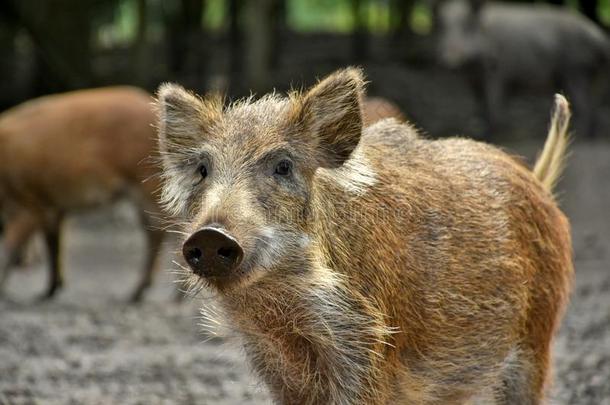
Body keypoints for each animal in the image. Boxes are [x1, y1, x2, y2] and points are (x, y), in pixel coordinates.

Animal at [434, 0, 604, 137]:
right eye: (444, 29)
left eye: (467, 27)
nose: (449, 60)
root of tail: (598, 36)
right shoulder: (474, 80)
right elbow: (480, 105)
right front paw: (479, 130)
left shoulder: (497, 73)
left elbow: (493, 104)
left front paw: (493, 133)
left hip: (576, 69)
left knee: (585, 105)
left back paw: (582, 136)